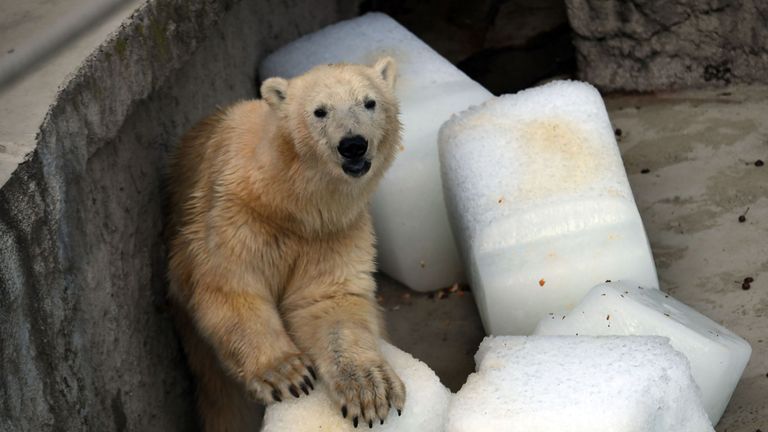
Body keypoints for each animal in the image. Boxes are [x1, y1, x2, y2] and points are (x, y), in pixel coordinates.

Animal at [167, 58, 404, 432]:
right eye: (320, 111)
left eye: (369, 102)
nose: (353, 144)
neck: (289, 202)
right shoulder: (234, 216)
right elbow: (231, 285)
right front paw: (286, 373)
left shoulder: (334, 231)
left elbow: (328, 301)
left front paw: (370, 388)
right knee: (225, 403)